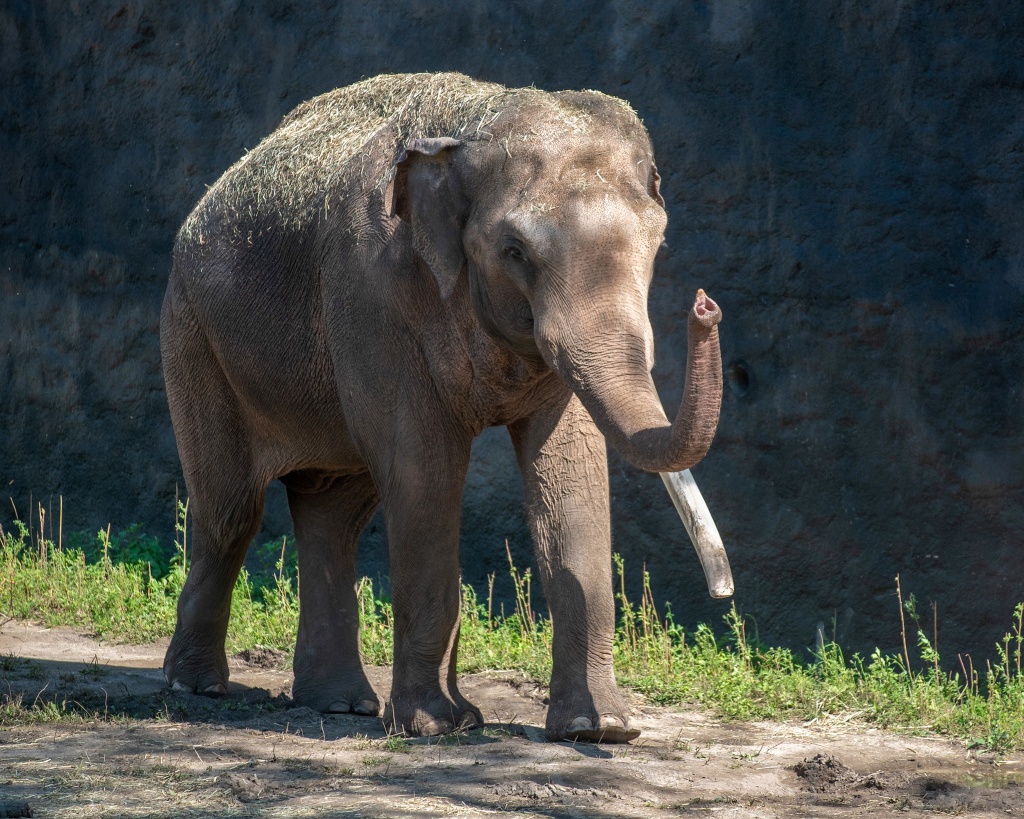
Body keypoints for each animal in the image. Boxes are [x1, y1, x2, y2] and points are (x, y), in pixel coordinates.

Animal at [161, 73, 720, 745]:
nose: (705, 307)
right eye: (514, 251)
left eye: (656, 243)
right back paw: (197, 687)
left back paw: (339, 705)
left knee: (334, 513)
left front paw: (598, 729)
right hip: (193, 335)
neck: (472, 126)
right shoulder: (374, 297)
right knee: (231, 510)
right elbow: (425, 473)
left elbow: (572, 476)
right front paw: (435, 727)